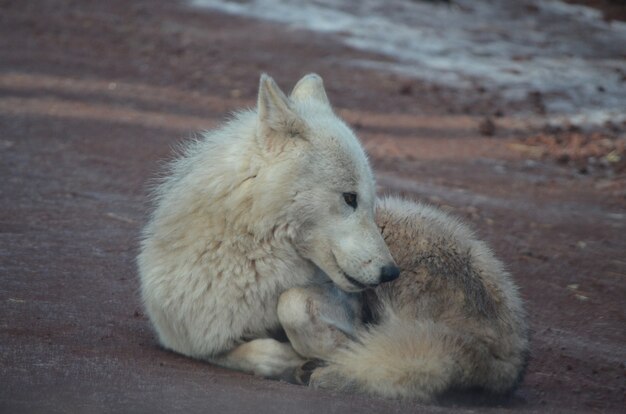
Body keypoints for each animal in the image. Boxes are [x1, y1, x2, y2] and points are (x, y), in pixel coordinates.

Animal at [138, 73, 528, 402]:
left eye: (369, 201)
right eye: (350, 198)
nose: (390, 273)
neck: (246, 261)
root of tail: (513, 356)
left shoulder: (341, 301)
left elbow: (293, 303)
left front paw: (339, 351)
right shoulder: (190, 339)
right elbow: (253, 353)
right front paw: (288, 359)